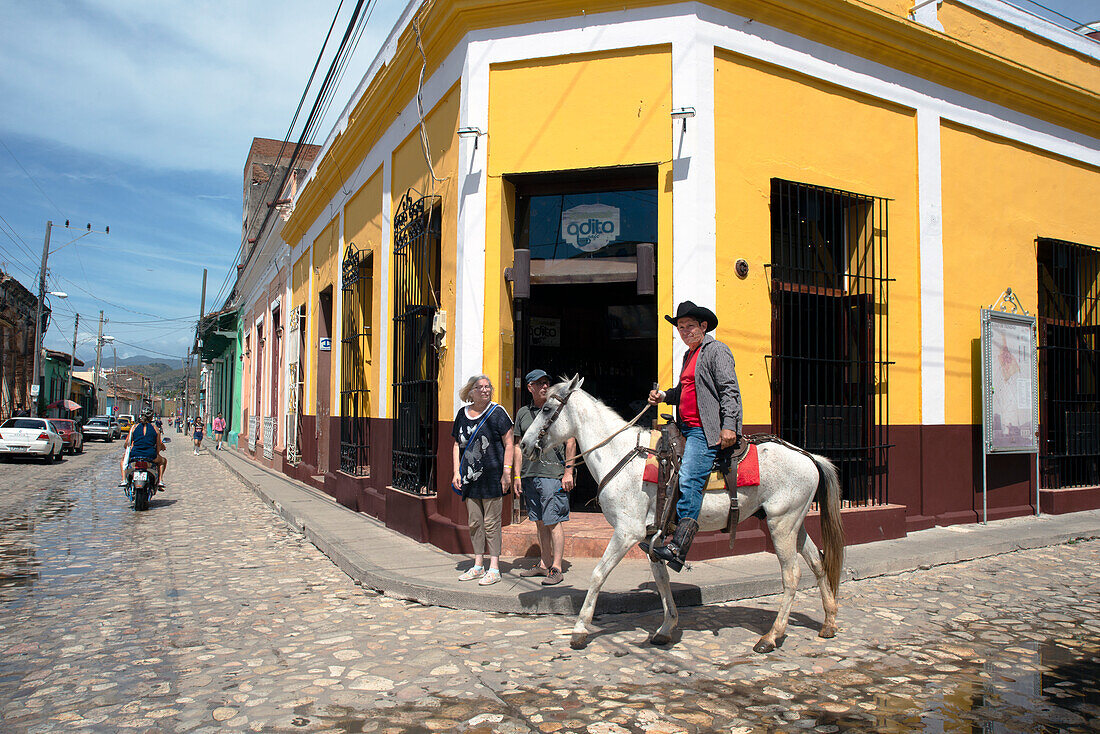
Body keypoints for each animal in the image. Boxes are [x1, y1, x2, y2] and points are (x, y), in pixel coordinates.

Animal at [519, 376, 844, 651]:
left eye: (546, 408)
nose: (523, 444)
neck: (619, 453)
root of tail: (809, 456)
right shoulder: (649, 537)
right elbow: (662, 580)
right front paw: (666, 628)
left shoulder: (627, 532)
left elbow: (599, 574)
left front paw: (579, 630)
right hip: (794, 524)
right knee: (818, 563)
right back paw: (829, 622)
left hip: (781, 524)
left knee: (792, 575)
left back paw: (771, 636)